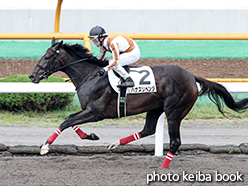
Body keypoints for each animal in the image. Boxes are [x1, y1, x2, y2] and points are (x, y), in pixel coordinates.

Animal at [29, 39, 248, 169]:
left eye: (47, 56)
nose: (32, 76)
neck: (90, 76)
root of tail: (191, 76)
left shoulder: (96, 112)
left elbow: (66, 122)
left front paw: (45, 147)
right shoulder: (88, 110)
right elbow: (70, 120)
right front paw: (90, 136)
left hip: (174, 111)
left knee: (175, 141)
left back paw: (162, 168)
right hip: (155, 108)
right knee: (148, 129)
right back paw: (115, 144)